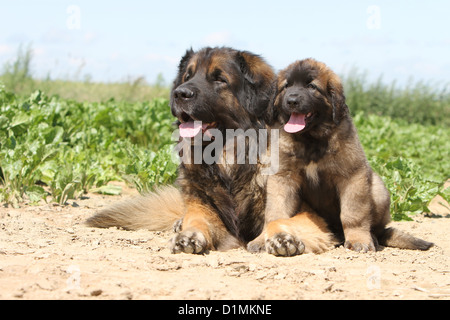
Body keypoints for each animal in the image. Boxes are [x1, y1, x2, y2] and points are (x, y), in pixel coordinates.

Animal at [253, 58, 432, 255]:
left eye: (311, 86)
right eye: (286, 86)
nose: (291, 100)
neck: (311, 140)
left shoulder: (353, 176)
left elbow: (353, 214)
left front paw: (358, 239)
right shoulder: (283, 178)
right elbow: (275, 212)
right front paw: (265, 238)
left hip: (377, 189)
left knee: (377, 228)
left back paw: (372, 238)